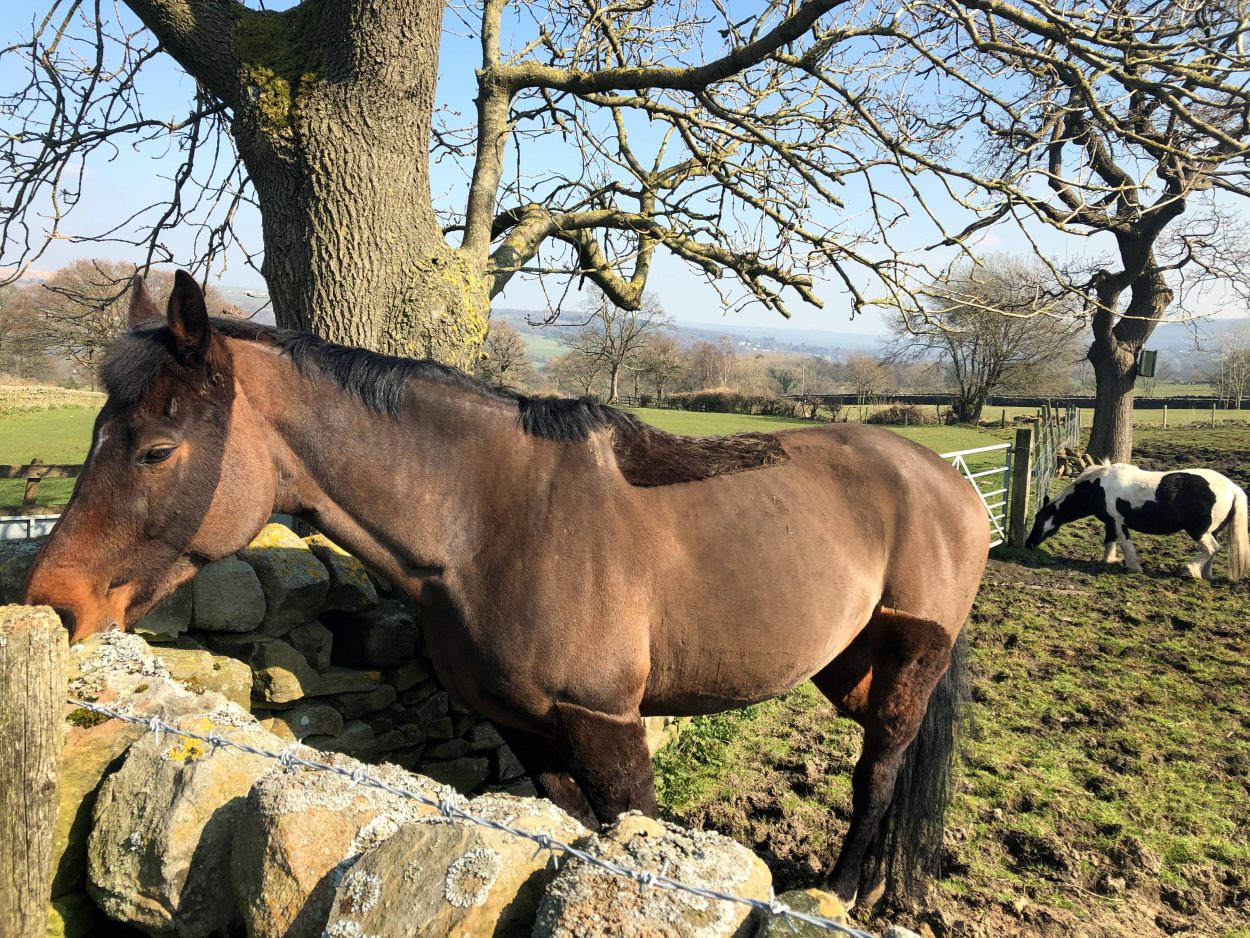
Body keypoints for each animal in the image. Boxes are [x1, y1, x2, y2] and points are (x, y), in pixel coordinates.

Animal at [24, 271, 990, 910]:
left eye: (156, 449)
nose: (53, 599)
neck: (485, 524)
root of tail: (947, 481)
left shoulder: (606, 723)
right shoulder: (530, 729)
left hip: (912, 659)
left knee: (879, 769)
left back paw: (848, 890)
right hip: (848, 663)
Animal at [1025, 460, 1240, 580]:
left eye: (1038, 518)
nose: (1028, 543)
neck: (1098, 486)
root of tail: (1233, 488)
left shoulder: (1119, 521)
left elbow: (1126, 544)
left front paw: (1134, 568)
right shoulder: (1111, 522)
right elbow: (1110, 542)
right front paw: (1108, 561)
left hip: (1199, 531)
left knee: (1212, 549)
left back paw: (1190, 570)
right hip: (1212, 531)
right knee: (1213, 552)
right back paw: (1206, 575)